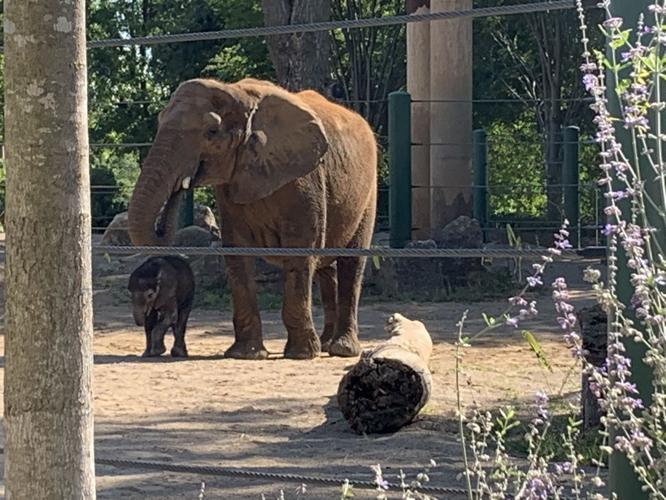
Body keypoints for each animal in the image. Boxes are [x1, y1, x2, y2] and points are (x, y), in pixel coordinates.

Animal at [127, 77, 377, 360]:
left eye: (211, 132)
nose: (181, 183)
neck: (239, 93)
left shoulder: (305, 180)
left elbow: (301, 250)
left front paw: (300, 355)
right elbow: (237, 252)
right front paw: (246, 354)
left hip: (367, 191)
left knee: (351, 262)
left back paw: (342, 350)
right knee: (327, 268)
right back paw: (325, 344)